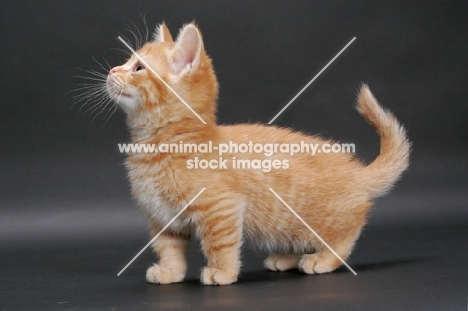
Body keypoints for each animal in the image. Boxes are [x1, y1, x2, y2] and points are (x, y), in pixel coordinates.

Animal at [105, 21, 410, 286]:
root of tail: (355, 171)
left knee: (347, 233)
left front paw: (222, 272)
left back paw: (322, 259)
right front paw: (170, 272)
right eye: (128, 62)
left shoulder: (222, 207)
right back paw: (285, 258)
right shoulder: (163, 217)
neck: (160, 144)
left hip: (328, 220)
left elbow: (220, 244)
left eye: (138, 67)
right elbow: (169, 247)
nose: (112, 71)